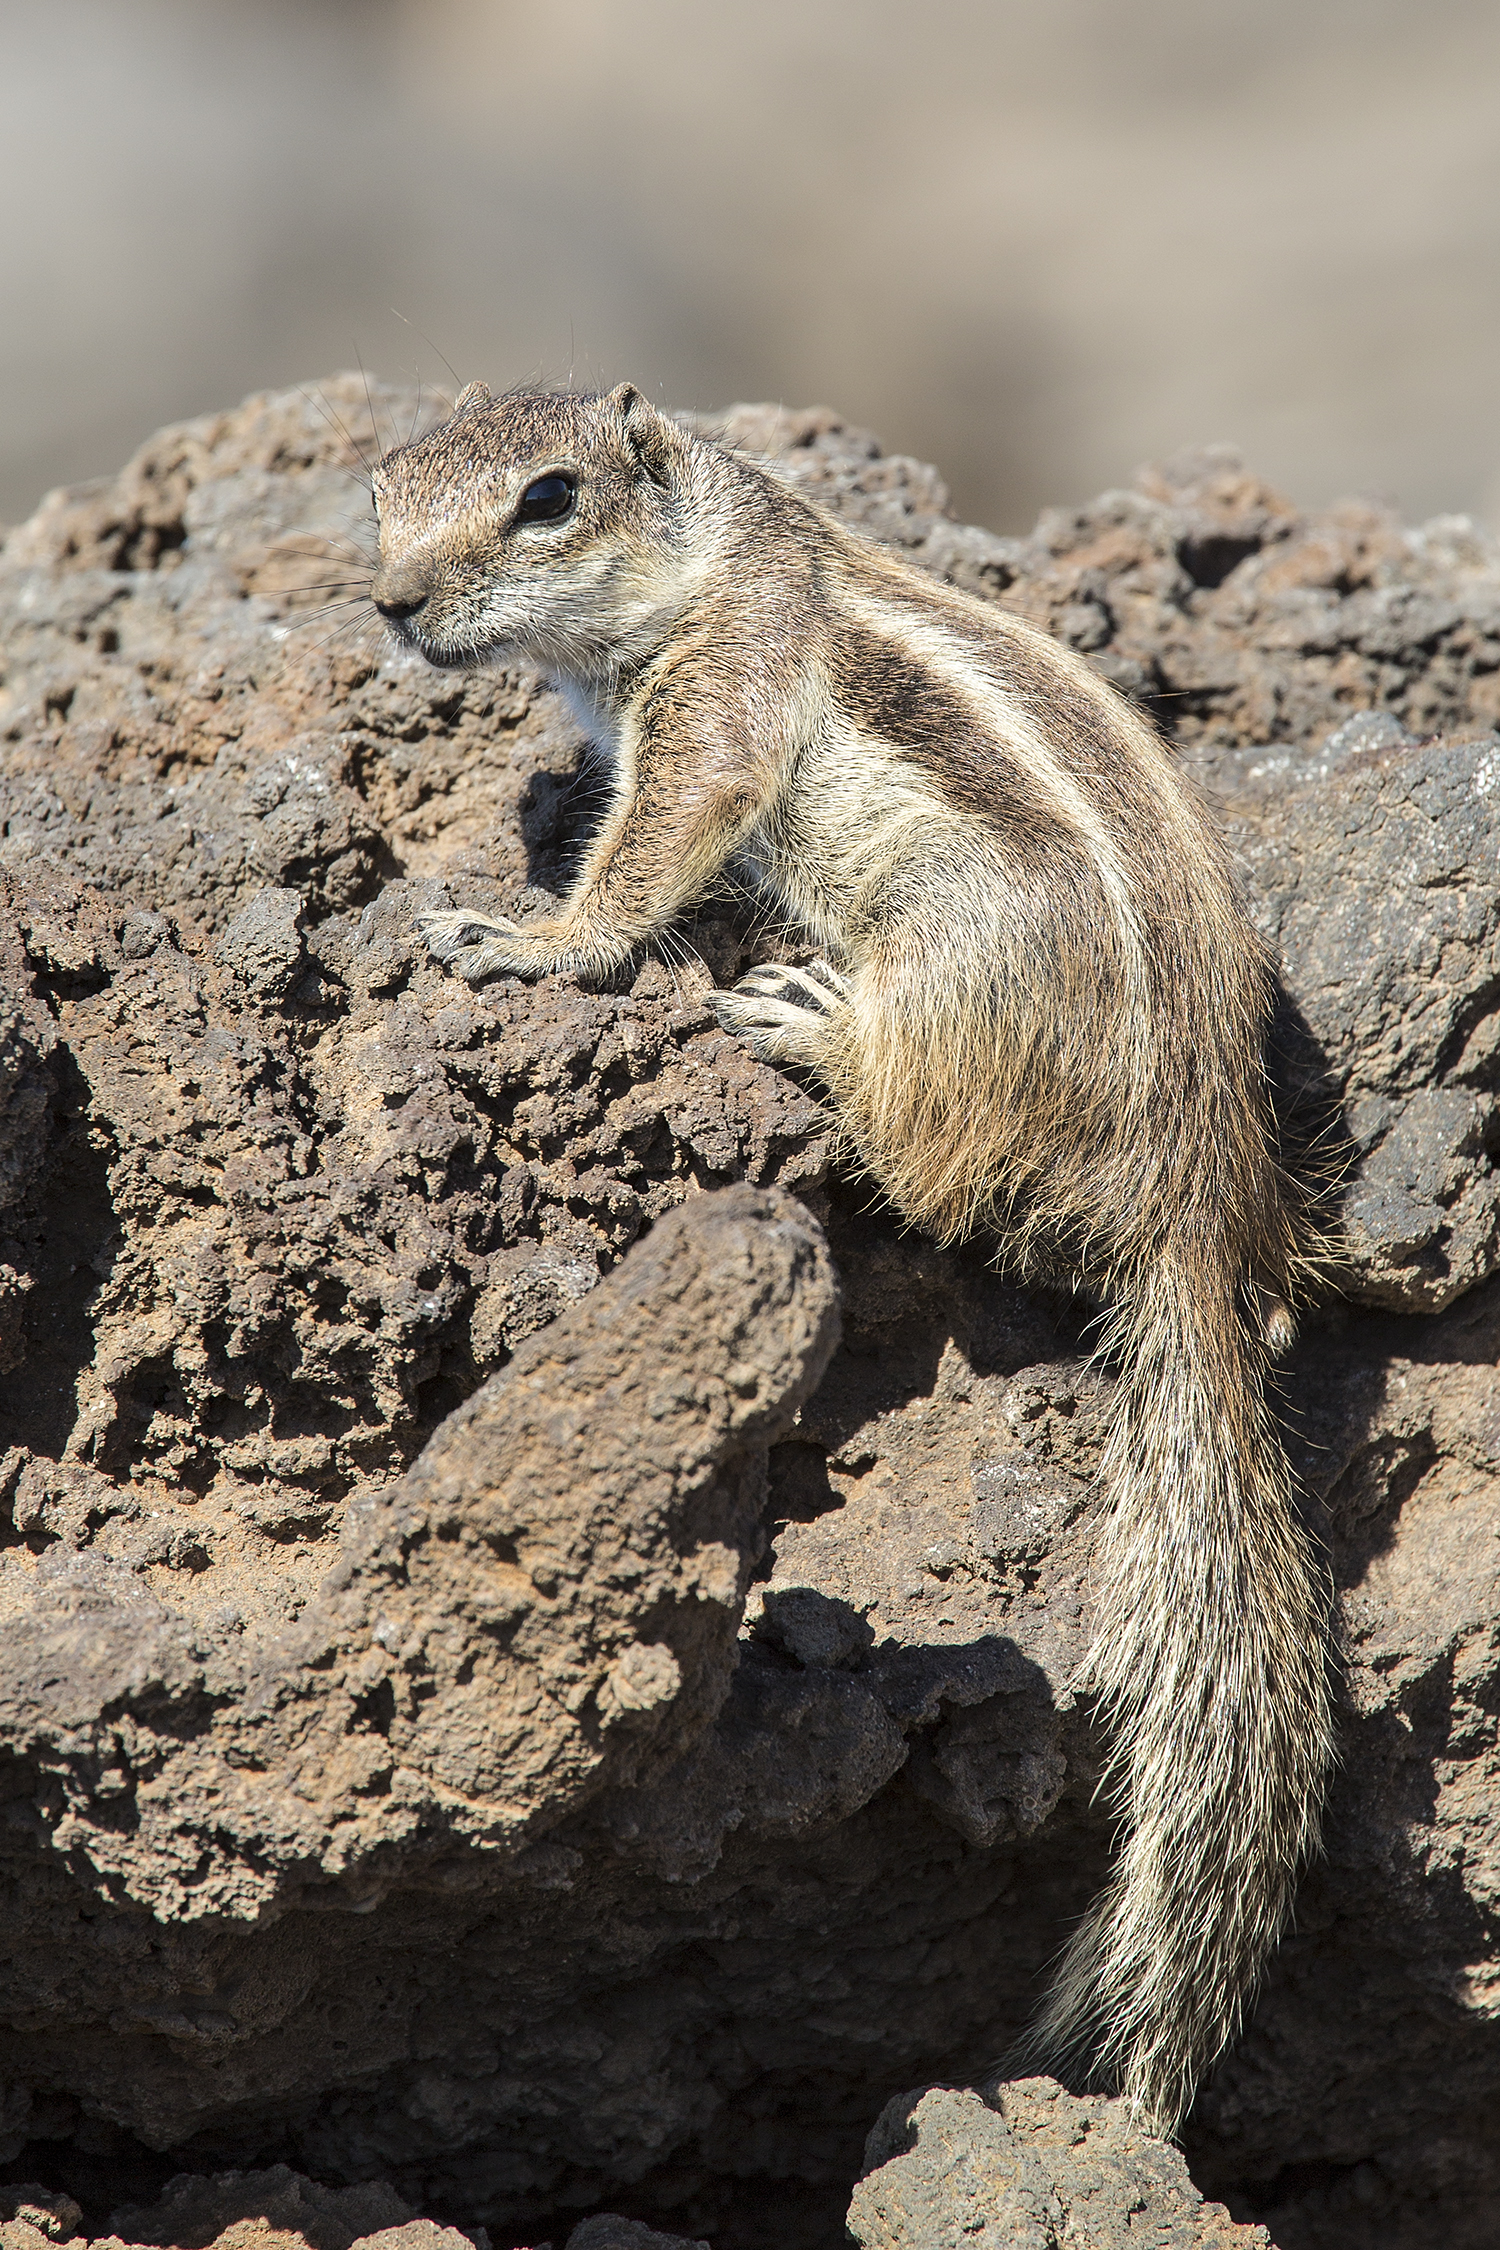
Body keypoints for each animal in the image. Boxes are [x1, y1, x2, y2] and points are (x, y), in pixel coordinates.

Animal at [367, 378, 1333, 2136]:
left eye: (547, 498)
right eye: (382, 494)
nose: (395, 605)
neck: (721, 543)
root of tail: (1190, 1187)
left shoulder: (725, 689)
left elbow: (667, 832)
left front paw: (534, 939)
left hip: (957, 949)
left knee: (928, 1148)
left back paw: (820, 1031)